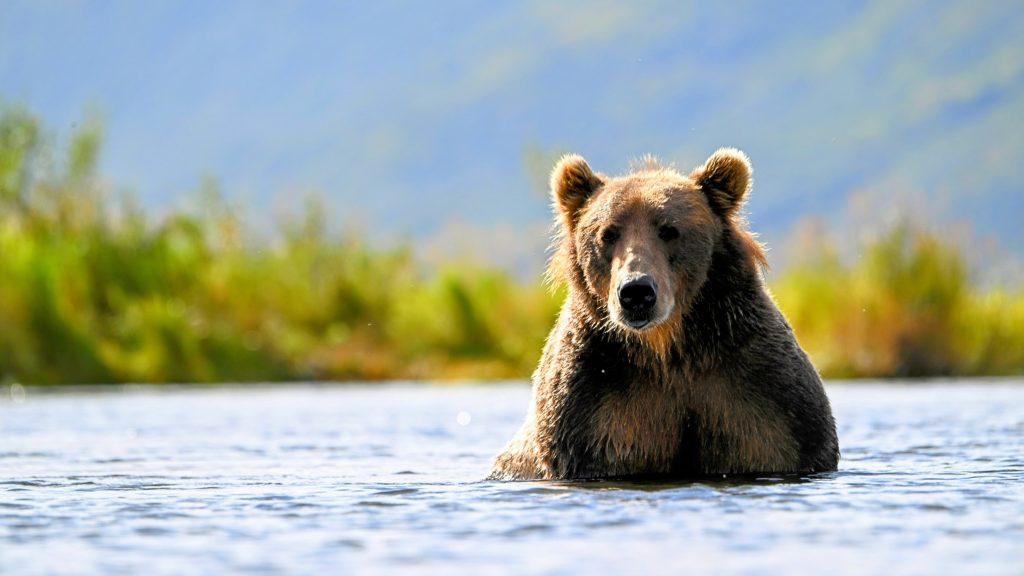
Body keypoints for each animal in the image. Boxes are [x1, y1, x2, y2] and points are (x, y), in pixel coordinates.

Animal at [488, 148, 839, 480]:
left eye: (670, 230)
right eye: (608, 233)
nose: (636, 292)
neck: (667, 350)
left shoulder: (757, 392)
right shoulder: (593, 402)